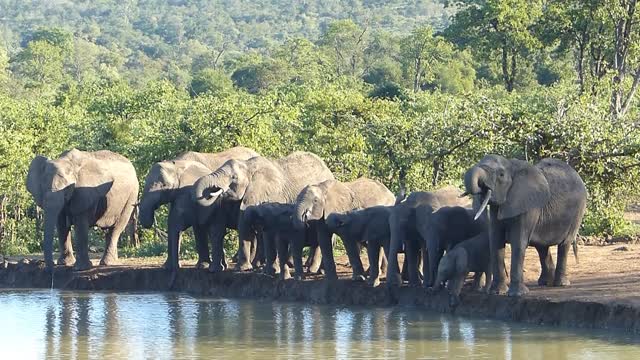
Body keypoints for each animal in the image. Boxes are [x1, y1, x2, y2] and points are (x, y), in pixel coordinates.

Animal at [192, 150, 336, 272]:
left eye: (233, 177)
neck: (248, 166)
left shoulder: (270, 194)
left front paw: (246, 268)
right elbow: (244, 224)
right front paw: (245, 268)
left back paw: (311, 268)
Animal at [462, 155, 588, 296]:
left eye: (501, 175)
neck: (512, 166)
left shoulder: (529, 205)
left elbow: (518, 242)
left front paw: (517, 294)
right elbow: (495, 241)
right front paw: (497, 292)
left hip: (578, 212)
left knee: (564, 244)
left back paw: (561, 284)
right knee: (542, 247)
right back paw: (545, 283)